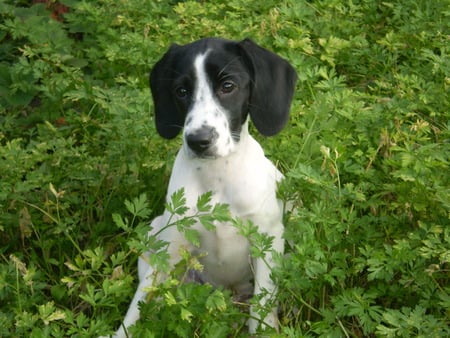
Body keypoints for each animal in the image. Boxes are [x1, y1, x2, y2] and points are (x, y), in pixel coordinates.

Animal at [110, 37, 298, 336]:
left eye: (228, 86)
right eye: (181, 91)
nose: (198, 140)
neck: (218, 179)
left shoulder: (267, 240)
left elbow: (262, 308)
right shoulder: (171, 246)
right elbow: (139, 306)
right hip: (155, 234)